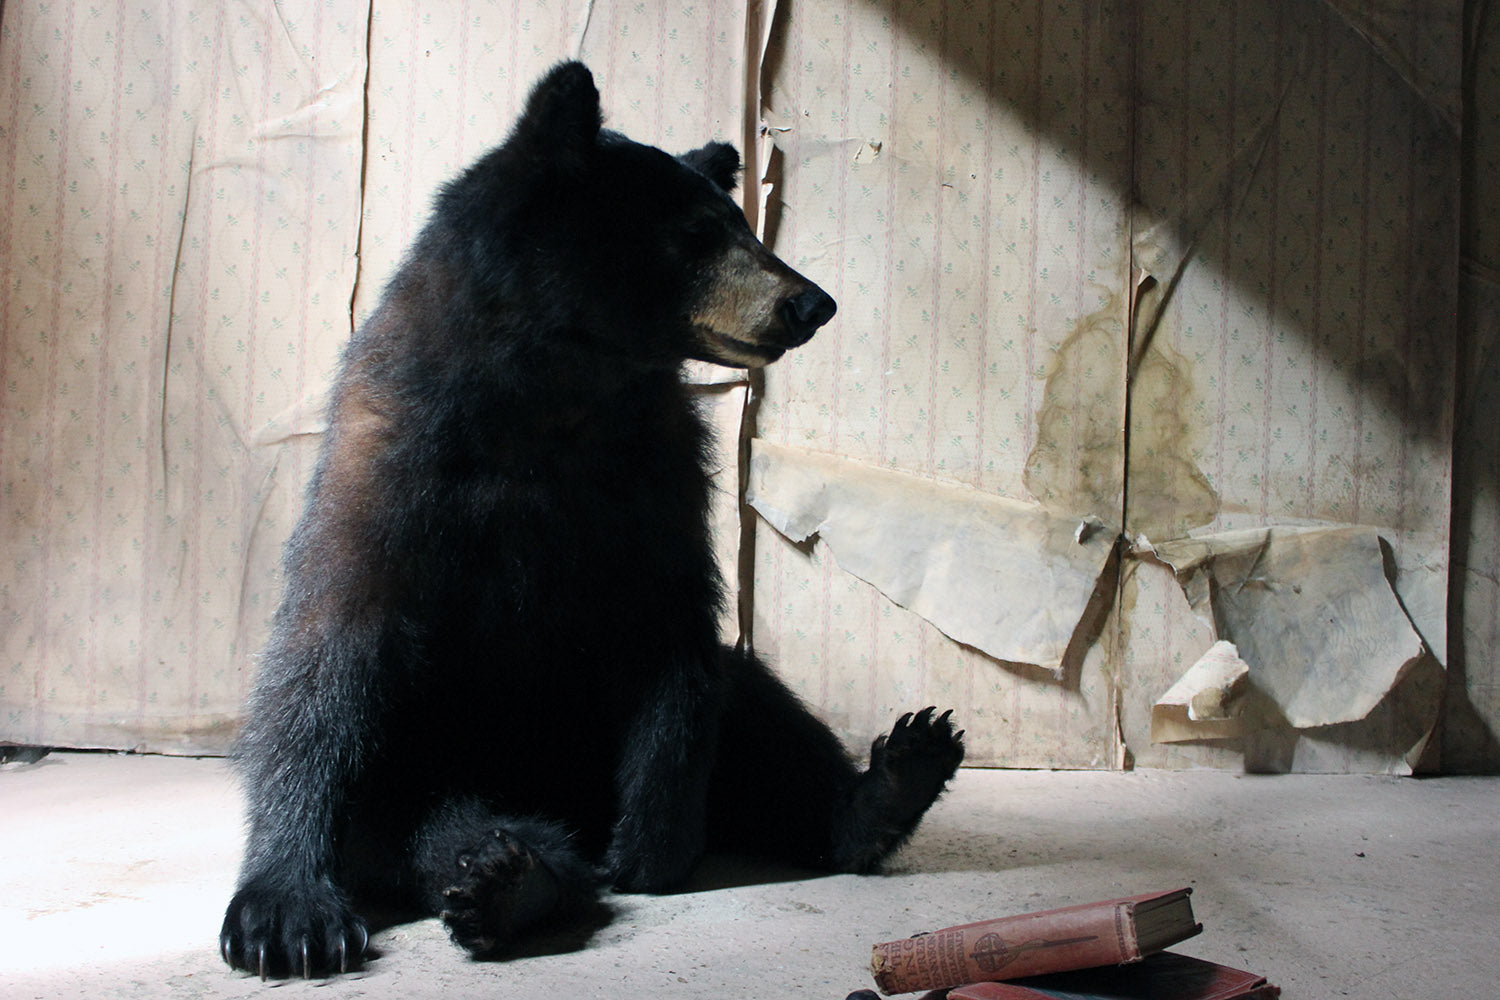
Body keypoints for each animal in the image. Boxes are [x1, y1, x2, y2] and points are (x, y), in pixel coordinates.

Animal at [219, 61, 965, 980]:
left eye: (741, 227)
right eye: (696, 234)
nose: (813, 303)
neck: (562, 389)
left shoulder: (660, 472)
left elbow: (675, 626)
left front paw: (652, 842)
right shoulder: (395, 464)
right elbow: (329, 653)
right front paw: (285, 910)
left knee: (756, 704)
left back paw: (891, 782)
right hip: (433, 749)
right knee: (415, 812)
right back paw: (510, 874)